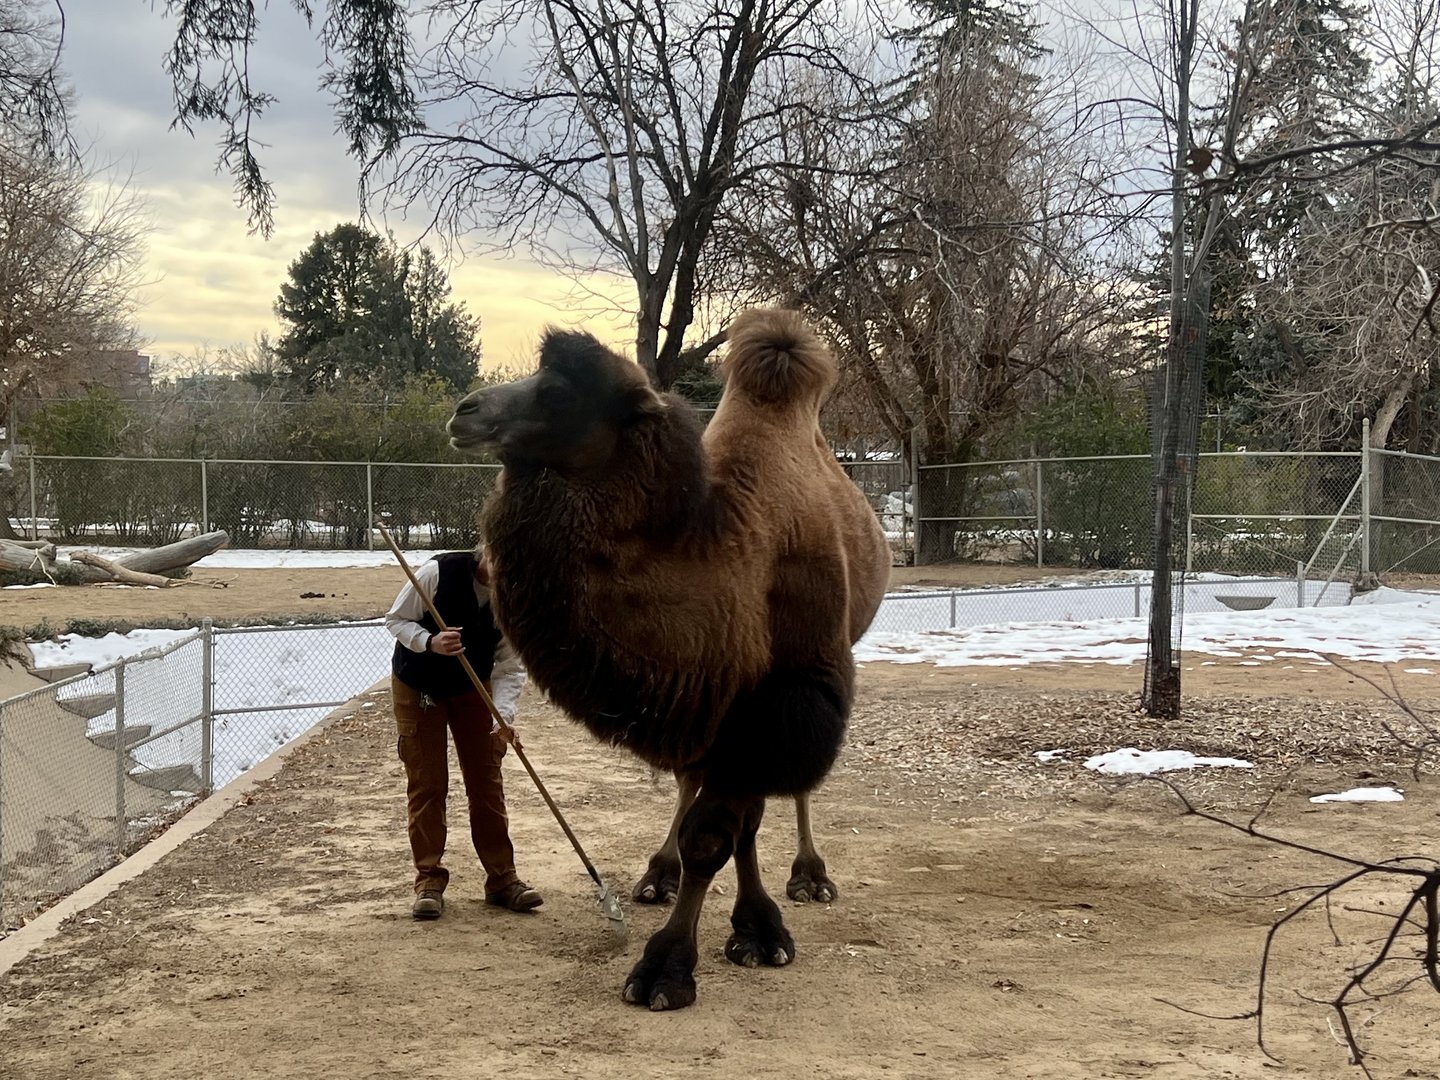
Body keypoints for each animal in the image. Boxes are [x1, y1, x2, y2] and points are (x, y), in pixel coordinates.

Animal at [447, 308, 890, 1010]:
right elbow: (727, 824)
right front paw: (749, 929)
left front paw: (671, 967)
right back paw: (661, 876)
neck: (730, 557)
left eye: (560, 391)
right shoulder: (715, 702)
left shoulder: (785, 697)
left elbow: (717, 833)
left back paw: (810, 876)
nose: (465, 410)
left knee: (794, 788)